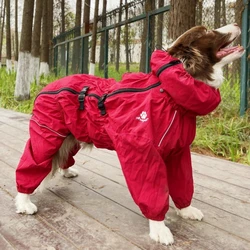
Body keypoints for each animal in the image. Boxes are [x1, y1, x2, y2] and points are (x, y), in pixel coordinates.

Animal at [15, 23, 244, 246]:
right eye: (206, 31)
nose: (237, 23)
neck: (171, 95)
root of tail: (45, 87)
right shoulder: (142, 153)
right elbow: (153, 191)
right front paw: (159, 229)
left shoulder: (179, 152)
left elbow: (183, 182)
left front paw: (186, 210)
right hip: (48, 136)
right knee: (32, 163)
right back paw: (24, 201)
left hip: (70, 135)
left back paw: (67, 171)